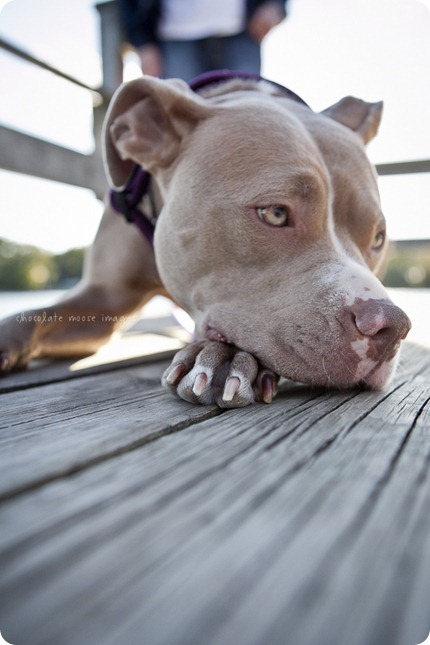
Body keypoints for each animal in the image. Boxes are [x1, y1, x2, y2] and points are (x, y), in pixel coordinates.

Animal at [0, 73, 410, 406]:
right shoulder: (103, 297)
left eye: (378, 237)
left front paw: (221, 359)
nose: (392, 327)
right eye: (275, 213)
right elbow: (30, 316)